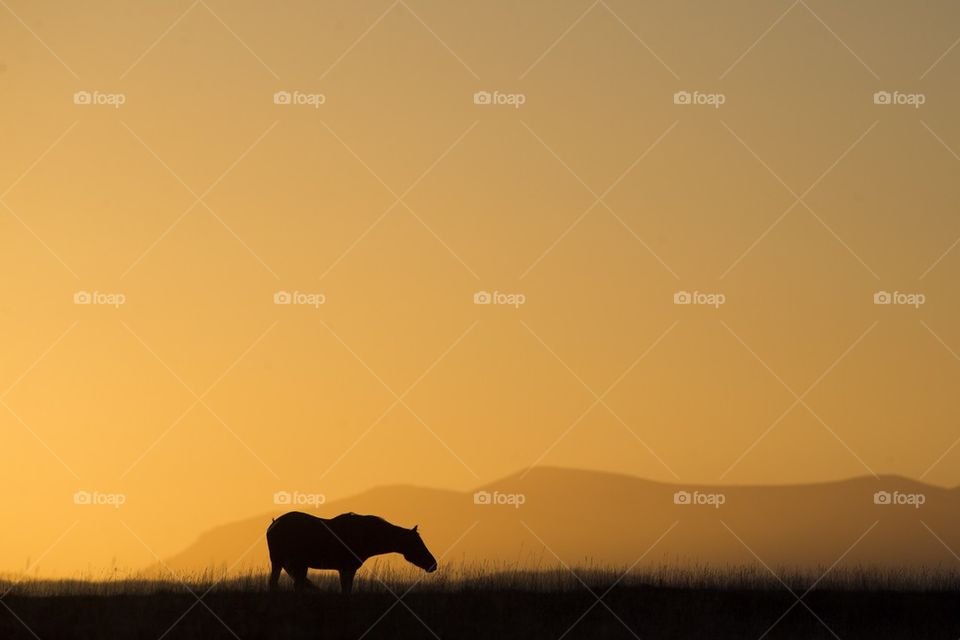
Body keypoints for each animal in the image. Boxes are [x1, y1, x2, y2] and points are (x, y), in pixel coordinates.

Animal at [266, 511, 437, 594]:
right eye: (416, 543)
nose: (433, 564)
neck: (364, 535)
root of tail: (274, 524)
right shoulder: (347, 568)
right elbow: (346, 590)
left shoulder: (348, 569)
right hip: (281, 561)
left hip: (295, 565)